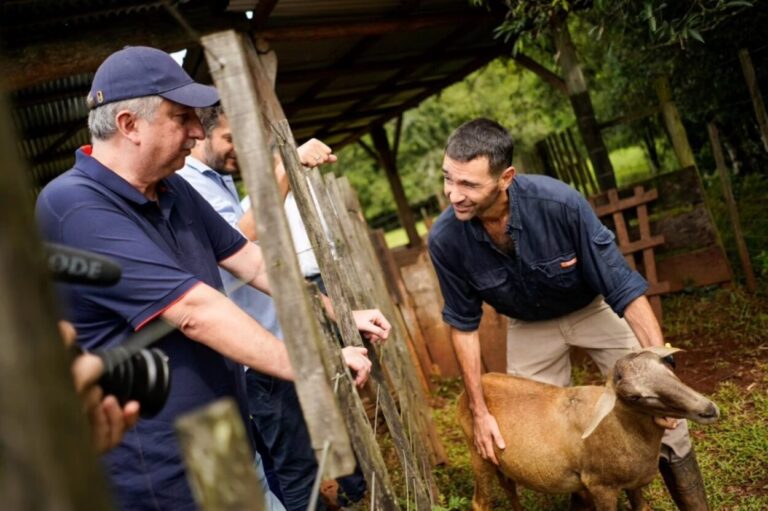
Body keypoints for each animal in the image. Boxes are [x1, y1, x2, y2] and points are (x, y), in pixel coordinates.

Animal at [460, 348, 724, 511]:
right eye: (634, 397)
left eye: (670, 363)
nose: (708, 409)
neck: (621, 428)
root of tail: (469, 390)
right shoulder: (600, 485)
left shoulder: (634, 483)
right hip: (479, 454)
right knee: (480, 502)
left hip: (501, 462)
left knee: (510, 488)